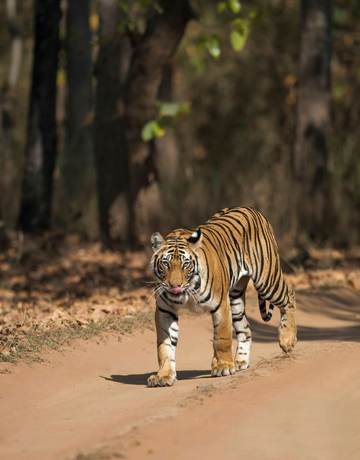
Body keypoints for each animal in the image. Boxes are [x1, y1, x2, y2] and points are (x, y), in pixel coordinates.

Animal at [148, 207, 296, 386]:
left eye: (186, 264)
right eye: (166, 263)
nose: (175, 286)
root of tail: (251, 209)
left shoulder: (221, 305)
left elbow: (222, 338)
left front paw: (223, 366)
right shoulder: (165, 311)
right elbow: (164, 345)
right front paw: (163, 375)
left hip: (266, 281)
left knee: (289, 295)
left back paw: (287, 340)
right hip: (235, 299)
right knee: (245, 329)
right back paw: (239, 361)